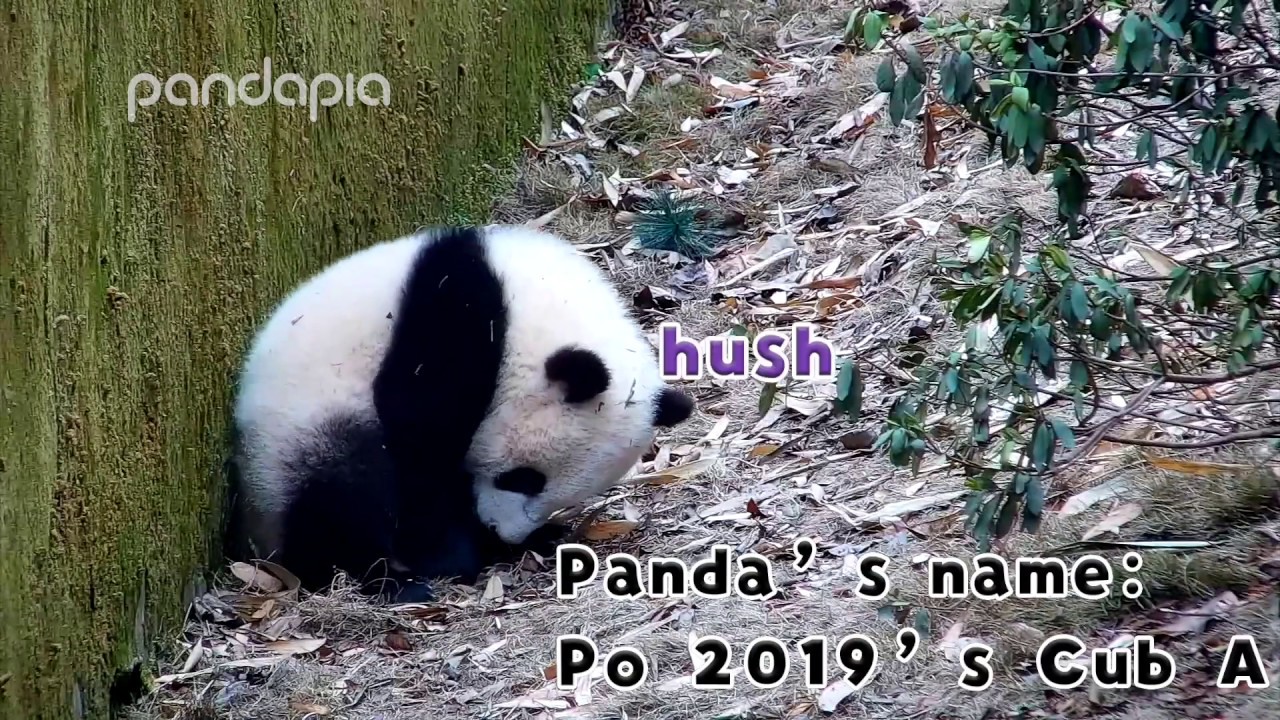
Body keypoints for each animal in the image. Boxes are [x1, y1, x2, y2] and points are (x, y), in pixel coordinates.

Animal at [229, 224, 695, 603]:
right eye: (524, 478)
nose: (502, 530)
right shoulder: (456, 313)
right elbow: (419, 437)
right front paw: (449, 556)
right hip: (297, 437)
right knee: (342, 491)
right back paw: (383, 577)